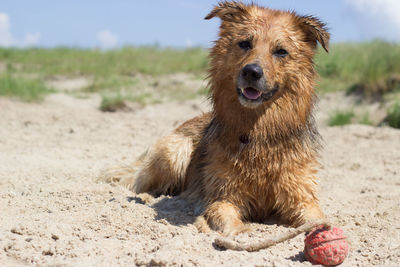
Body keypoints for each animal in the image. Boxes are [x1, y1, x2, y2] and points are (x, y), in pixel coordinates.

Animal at [101, 1, 332, 237]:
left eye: (281, 51)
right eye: (245, 43)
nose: (252, 72)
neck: (259, 132)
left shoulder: (301, 196)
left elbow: (318, 218)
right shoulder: (223, 195)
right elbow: (229, 220)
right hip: (176, 151)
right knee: (137, 182)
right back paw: (147, 197)